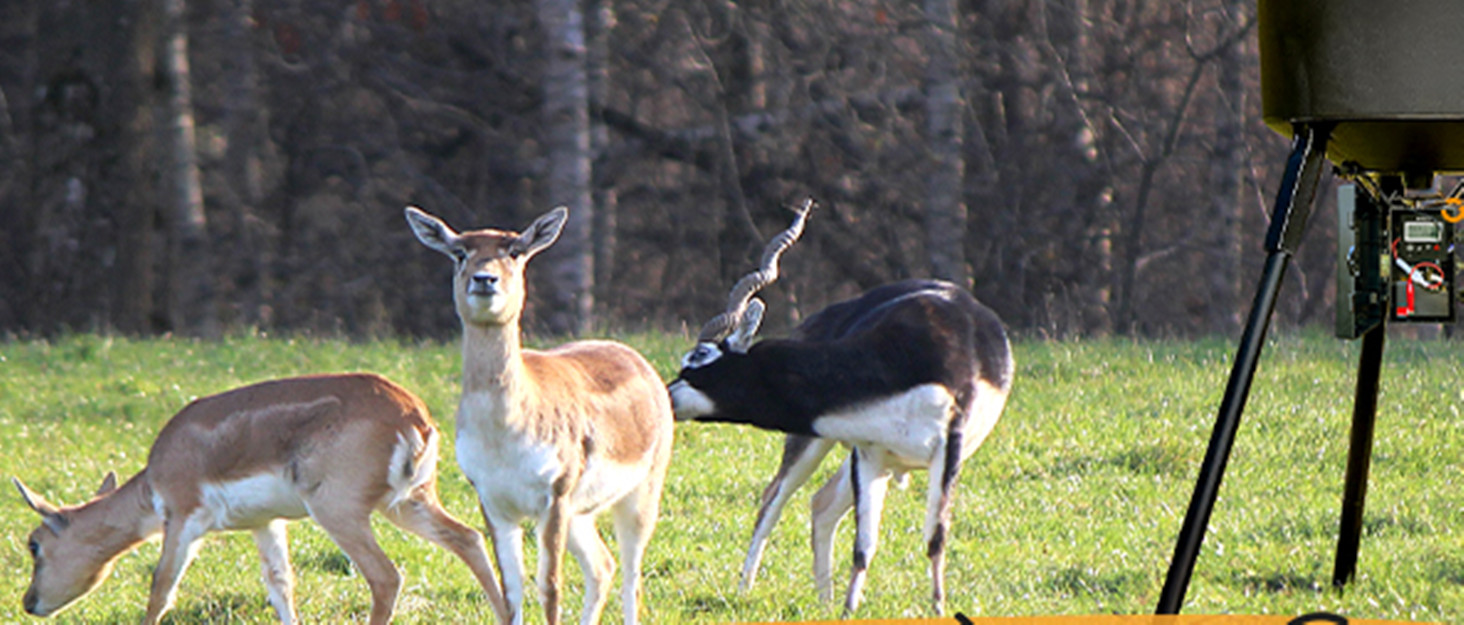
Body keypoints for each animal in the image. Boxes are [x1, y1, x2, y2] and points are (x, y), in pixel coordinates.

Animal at [13, 373, 510, 625]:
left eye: (34, 544)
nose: (28, 602)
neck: (156, 476)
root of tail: (414, 415)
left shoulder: (184, 518)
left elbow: (161, 588)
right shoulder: (265, 523)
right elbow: (280, 586)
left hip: (341, 511)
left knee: (386, 576)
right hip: (408, 503)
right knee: (469, 538)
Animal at [405, 205, 674, 625]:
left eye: (515, 250)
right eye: (459, 252)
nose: (485, 279)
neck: (505, 435)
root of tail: (638, 361)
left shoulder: (555, 492)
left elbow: (549, 587)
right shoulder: (492, 499)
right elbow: (511, 592)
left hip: (643, 489)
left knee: (632, 577)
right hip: (582, 512)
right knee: (603, 566)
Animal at [667, 200, 1014, 616]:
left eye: (698, 356)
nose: (666, 396)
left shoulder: (948, 448)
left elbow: (936, 537)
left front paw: (937, 609)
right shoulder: (869, 453)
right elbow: (863, 546)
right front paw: (850, 611)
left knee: (819, 503)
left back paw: (823, 600)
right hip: (818, 445)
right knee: (775, 500)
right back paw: (748, 592)